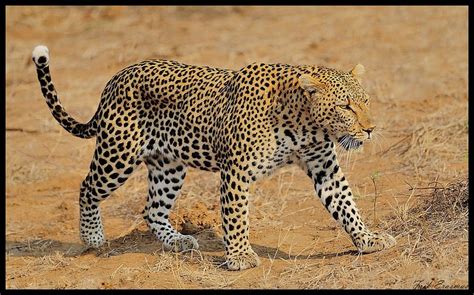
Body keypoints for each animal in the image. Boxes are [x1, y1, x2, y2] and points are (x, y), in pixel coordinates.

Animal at [32, 45, 396, 272]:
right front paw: (239, 257)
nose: (371, 129)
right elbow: (236, 217)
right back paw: (92, 237)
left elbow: (346, 205)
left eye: (365, 101)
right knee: (87, 187)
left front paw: (368, 239)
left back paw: (177, 241)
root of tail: (115, 79)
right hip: (117, 154)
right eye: (345, 107)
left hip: (168, 166)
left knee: (152, 209)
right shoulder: (236, 171)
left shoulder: (325, 169)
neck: (305, 124)